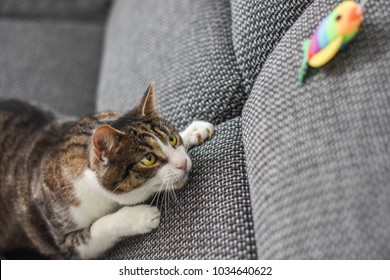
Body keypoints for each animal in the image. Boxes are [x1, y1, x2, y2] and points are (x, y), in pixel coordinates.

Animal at [0, 83, 213, 260]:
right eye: (148, 159)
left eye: (172, 139)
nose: (183, 163)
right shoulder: (66, 243)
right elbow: (97, 228)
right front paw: (140, 216)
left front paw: (194, 131)